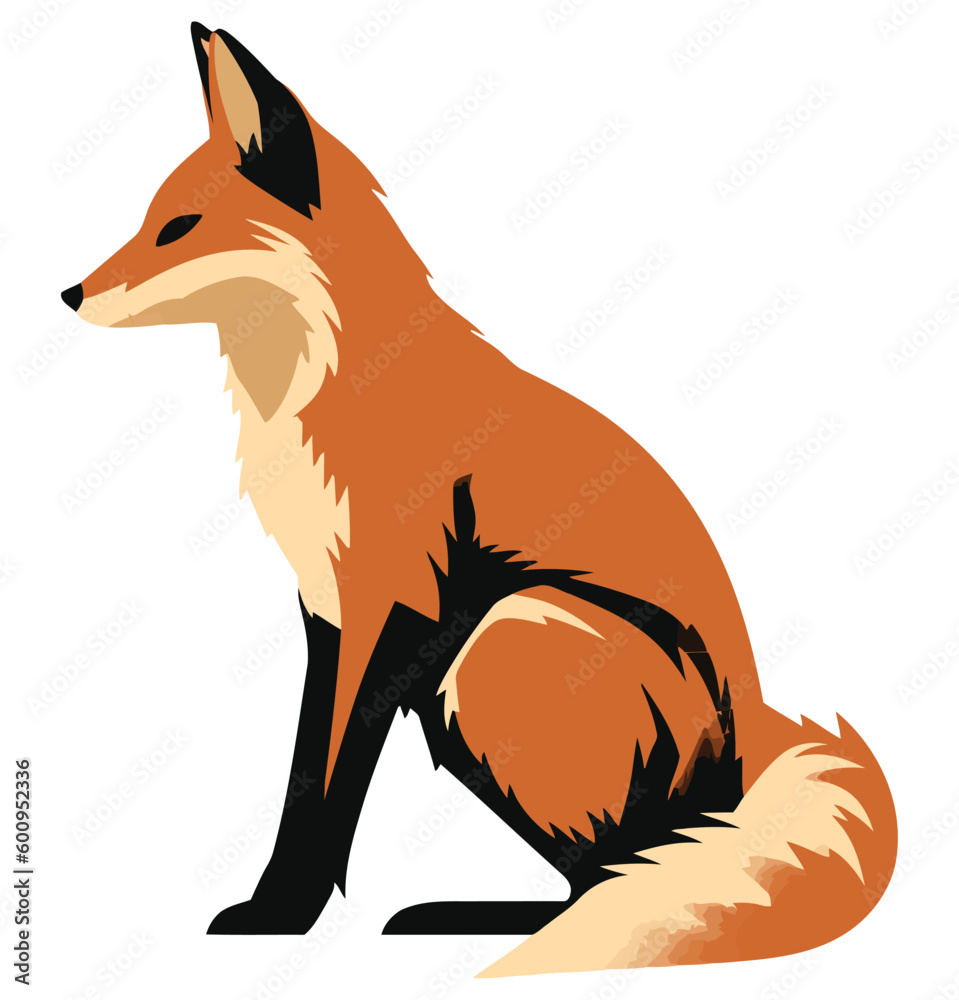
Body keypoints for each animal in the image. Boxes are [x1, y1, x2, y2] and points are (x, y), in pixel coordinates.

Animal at [62, 23, 896, 976]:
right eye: (146, 221)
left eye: (178, 228)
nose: (69, 294)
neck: (333, 387)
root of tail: (753, 741)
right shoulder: (327, 608)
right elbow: (308, 768)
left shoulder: (392, 606)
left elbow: (329, 779)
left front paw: (282, 913)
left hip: (503, 637)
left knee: (616, 872)